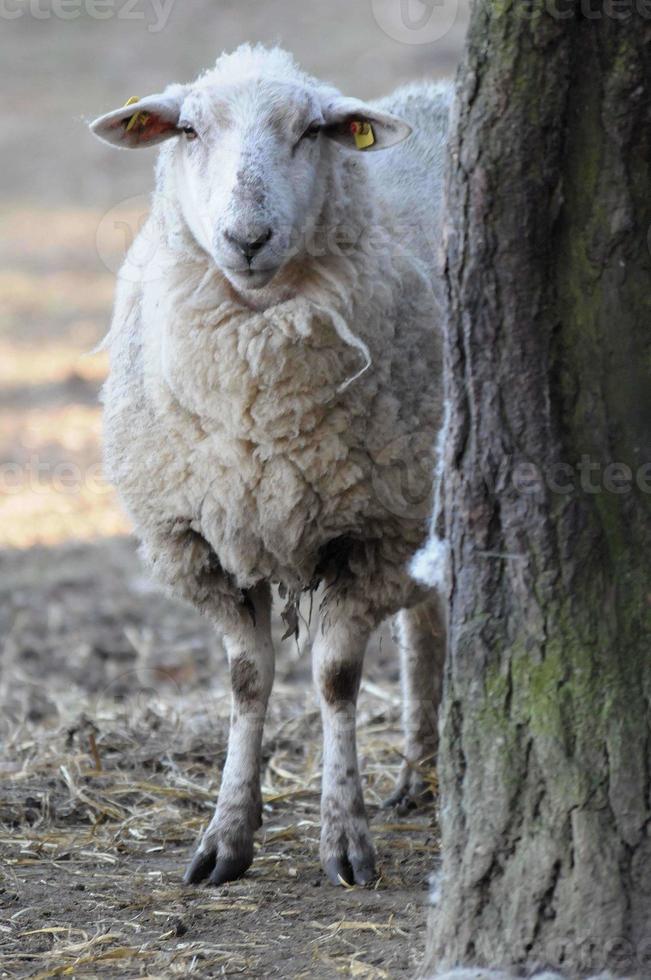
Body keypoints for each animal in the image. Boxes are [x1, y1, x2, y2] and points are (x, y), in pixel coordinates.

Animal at [89, 46, 454, 888]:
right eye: (187, 129)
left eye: (313, 131)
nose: (247, 236)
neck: (260, 414)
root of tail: (446, 88)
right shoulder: (200, 540)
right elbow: (247, 680)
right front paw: (227, 835)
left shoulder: (372, 533)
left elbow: (335, 679)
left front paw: (343, 837)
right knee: (425, 627)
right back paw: (416, 777)